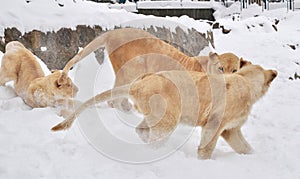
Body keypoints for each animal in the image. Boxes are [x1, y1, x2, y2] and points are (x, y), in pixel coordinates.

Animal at [51, 63, 276, 159]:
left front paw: (253, 155)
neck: (246, 81)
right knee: (156, 133)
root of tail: (138, 84)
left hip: (158, 112)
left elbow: (241, 144)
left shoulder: (232, 128)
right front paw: (204, 160)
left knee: (142, 128)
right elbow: (208, 143)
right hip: (168, 112)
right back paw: (157, 150)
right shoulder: (216, 120)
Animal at [57, 27, 247, 111]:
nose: (230, 79)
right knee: (115, 97)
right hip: (131, 69)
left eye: (234, 70)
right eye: (221, 68)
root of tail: (113, 32)